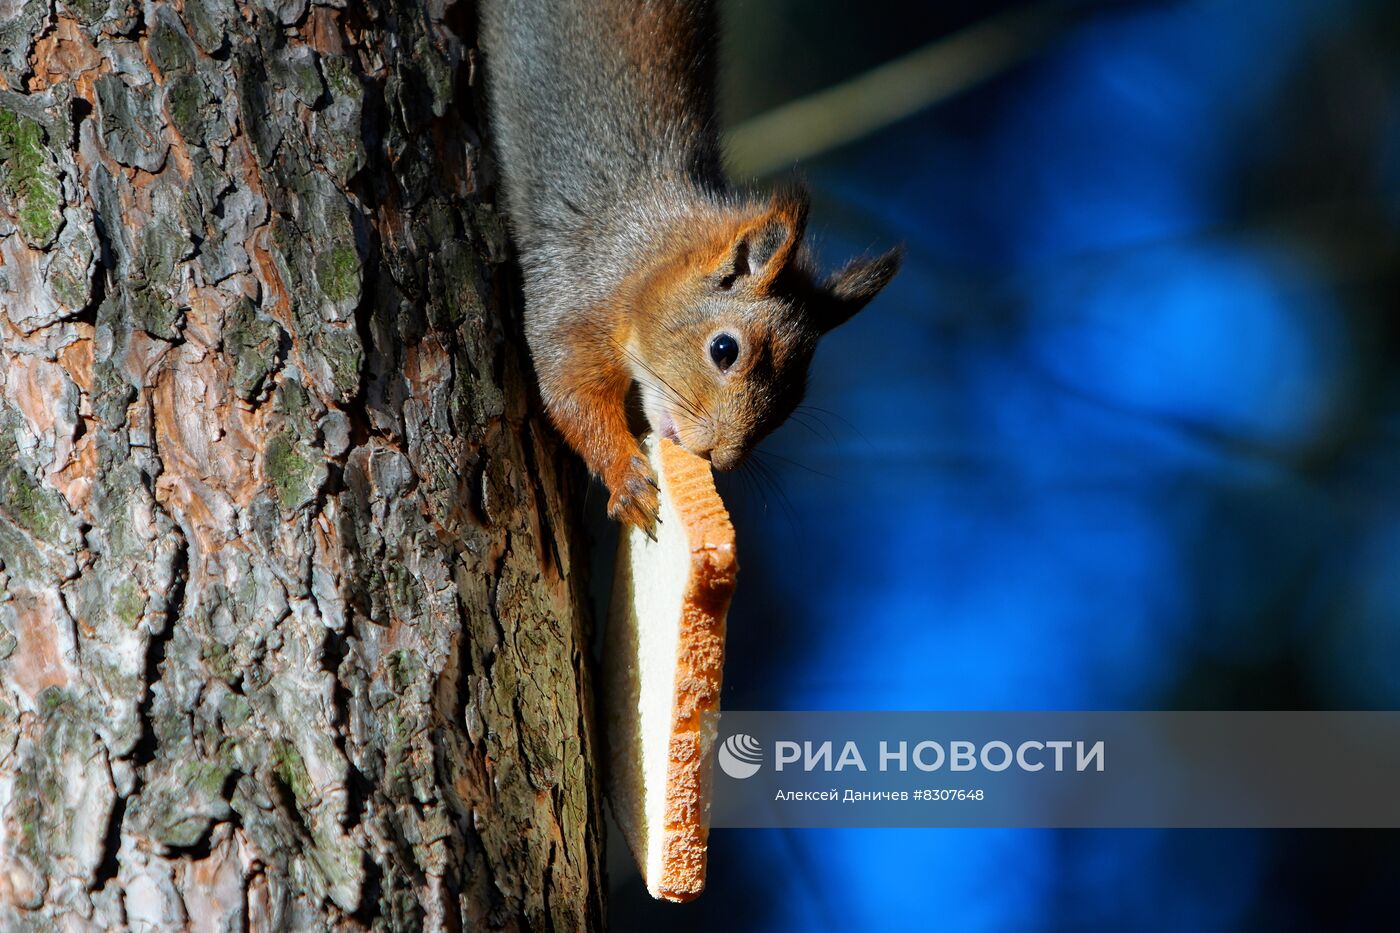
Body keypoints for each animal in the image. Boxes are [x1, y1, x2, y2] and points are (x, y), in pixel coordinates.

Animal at [478, 0, 896, 529]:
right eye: (724, 349)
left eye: (796, 396)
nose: (721, 458)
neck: (648, 261)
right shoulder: (572, 295)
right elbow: (570, 396)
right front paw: (626, 478)